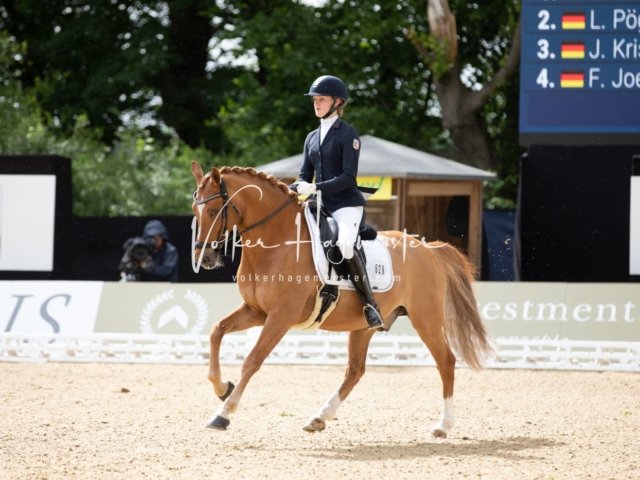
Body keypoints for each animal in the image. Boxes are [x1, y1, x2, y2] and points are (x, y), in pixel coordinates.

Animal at [191, 162, 492, 438]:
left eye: (214, 211)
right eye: (195, 211)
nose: (204, 259)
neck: (277, 242)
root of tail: (429, 249)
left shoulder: (280, 317)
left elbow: (252, 360)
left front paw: (223, 413)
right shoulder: (256, 311)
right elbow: (217, 330)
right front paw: (221, 387)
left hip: (426, 319)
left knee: (446, 362)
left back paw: (443, 425)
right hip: (364, 326)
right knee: (355, 371)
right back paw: (319, 418)